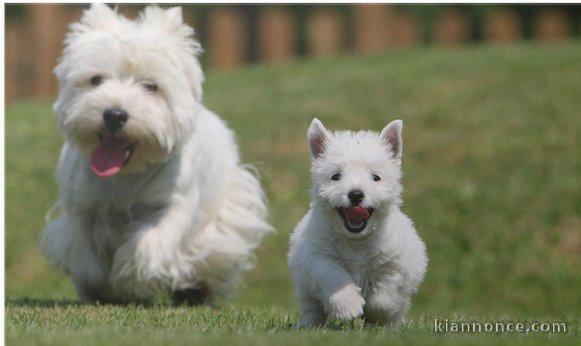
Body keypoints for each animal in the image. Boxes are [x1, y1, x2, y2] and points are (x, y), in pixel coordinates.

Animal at [40, 4, 272, 304]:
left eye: (151, 86)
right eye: (96, 80)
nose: (114, 115)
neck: (127, 174)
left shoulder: (174, 204)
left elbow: (147, 246)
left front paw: (128, 282)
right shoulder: (81, 205)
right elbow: (85, 255)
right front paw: (101, 286)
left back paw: (195, 289)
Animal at [286, 117, 426, 326]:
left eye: (376, 177)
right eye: (336, 176)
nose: (356, 194)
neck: (357, 241)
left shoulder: (395, 264)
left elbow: (384, 298)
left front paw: (373, 314)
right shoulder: (316, 256)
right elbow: (332, 275)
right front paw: (348, 307)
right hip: (305, 287)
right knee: (311, 307)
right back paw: (309, 325)